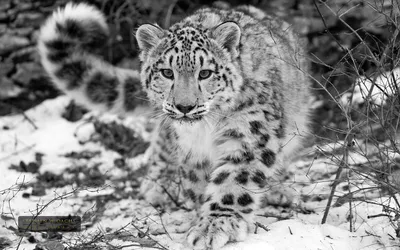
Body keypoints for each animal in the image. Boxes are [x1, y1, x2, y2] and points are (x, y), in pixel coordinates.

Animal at [38, 2, 312, 250]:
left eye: (205, 73)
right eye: (167, 73)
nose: (184, 106)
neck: (205, 130)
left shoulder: (248, 134)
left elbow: (234, 181)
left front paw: (215, 225)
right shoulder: (191, 150)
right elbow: (197, 185)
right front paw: (200, 218)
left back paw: (279, 190)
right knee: (161, 142)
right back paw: (159, 185)